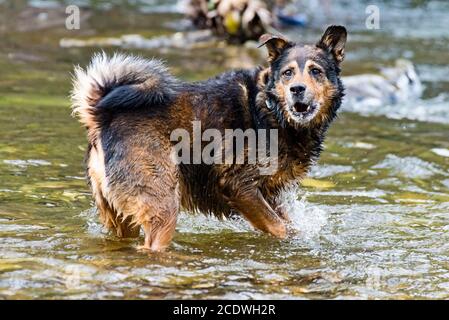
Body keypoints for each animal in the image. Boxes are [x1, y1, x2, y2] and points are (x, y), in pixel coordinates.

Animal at [72, 25, 346, 250]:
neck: (270, 109)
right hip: (163, 206)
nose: (297, 89)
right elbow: (278, 227)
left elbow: (287, 224)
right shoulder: (239, 186)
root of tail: (102, 116)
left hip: (120, 215)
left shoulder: (268, 193)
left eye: (316, 71)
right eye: (288, 73)